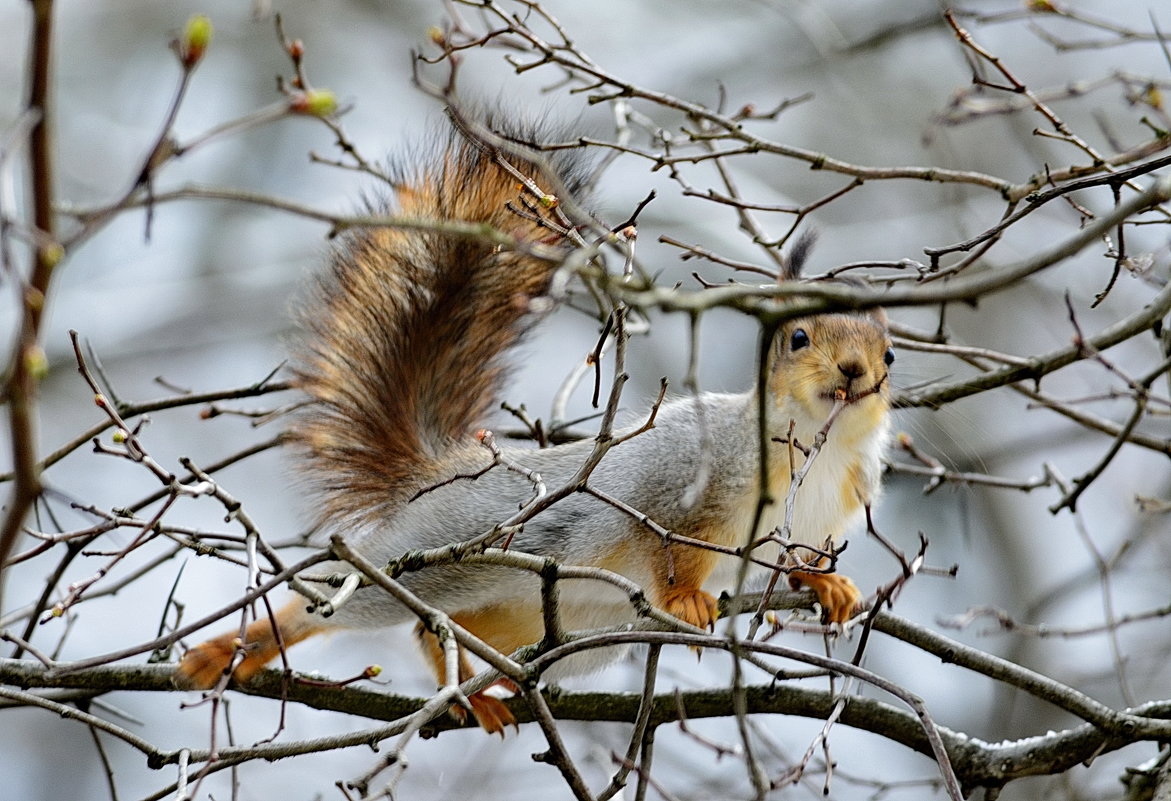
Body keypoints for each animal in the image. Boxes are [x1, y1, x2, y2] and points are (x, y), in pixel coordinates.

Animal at [173, 115, 889, 735]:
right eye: (798, 337)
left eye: (888, 351)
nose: (856, 371)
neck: (820, 450)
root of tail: (449, 469)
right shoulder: (685, 485)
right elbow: (671, 547)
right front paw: (688, 598)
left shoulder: (818, 518)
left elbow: (792, 560)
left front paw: (827, 583)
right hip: (440, 556)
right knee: (339, 606)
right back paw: (235, 649)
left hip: (567, 630)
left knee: (439, 631)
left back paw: (475, 690)